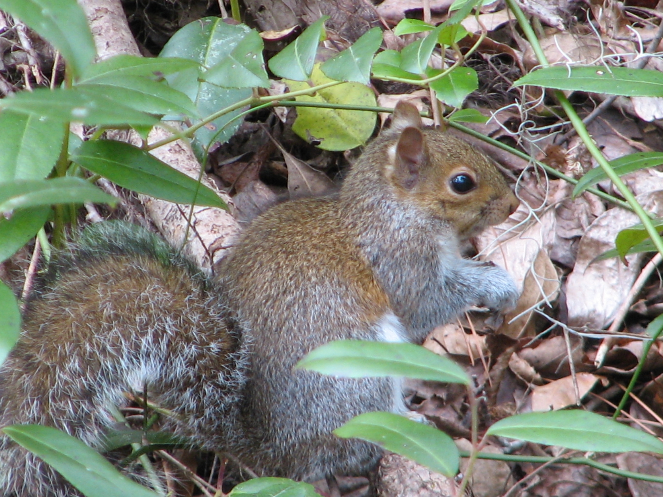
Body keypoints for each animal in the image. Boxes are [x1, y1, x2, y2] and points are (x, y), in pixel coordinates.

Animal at [0, 99, 520, 494]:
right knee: (354, 446)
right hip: (357, 377)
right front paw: (498, 286)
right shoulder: (399, 262)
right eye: (462, 182)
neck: (392, 210)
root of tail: (270, 449)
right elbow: (426, 303)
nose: (515, 203)